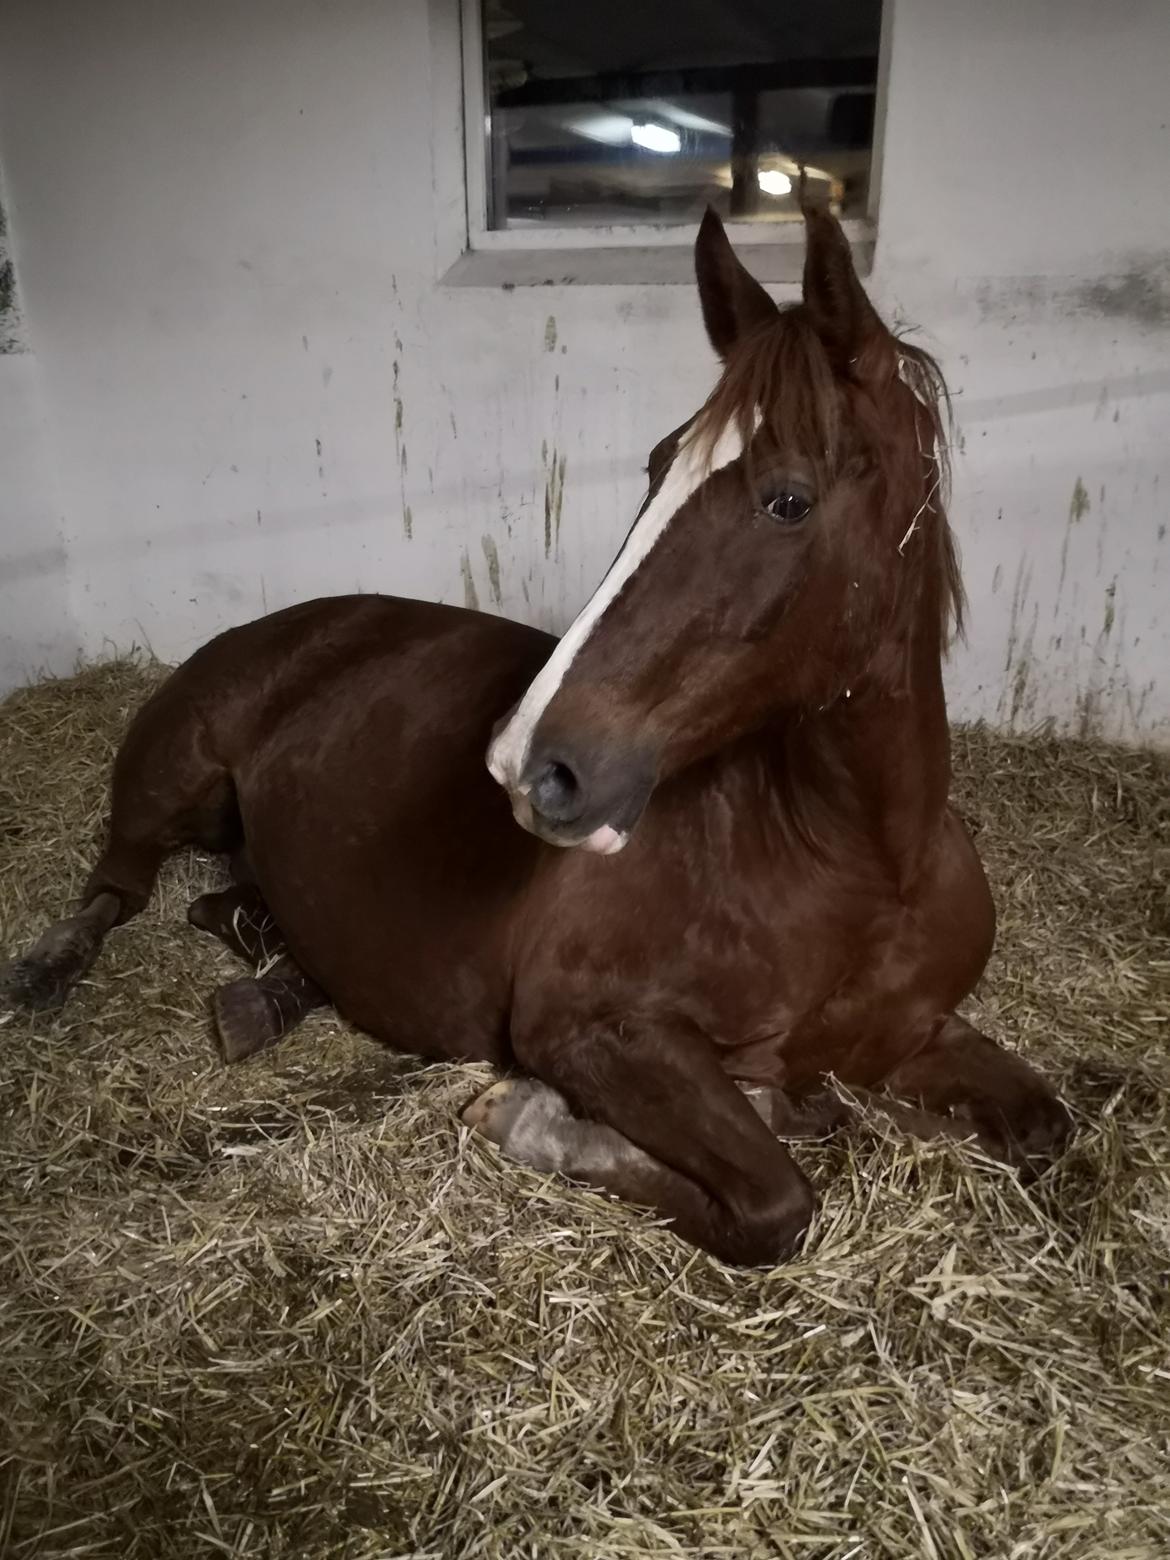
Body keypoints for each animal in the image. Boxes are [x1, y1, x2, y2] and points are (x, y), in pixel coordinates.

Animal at [0, 201, 1073, 1266]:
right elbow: (775, 1200)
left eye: (788, 499)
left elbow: (1046, 1126)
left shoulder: (916, 1031)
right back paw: (53, 965)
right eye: (656, 466)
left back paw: (260, 989)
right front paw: (537, 1119)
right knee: (119, 885)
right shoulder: (586, 1030)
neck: (853, 868)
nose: (529, 765)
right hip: (171, 780)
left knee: (232, 914)